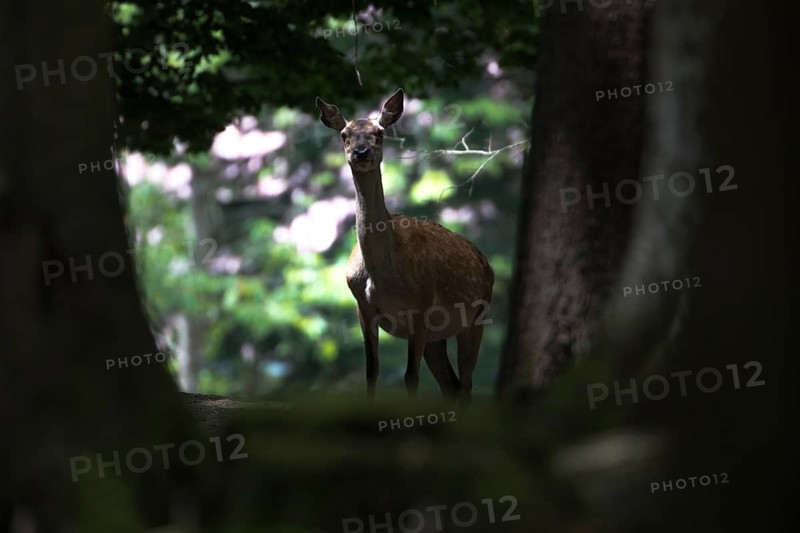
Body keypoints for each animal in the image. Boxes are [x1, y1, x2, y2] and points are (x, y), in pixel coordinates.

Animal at [315, 89, 494, 406]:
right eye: (345, 134)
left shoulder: (421, 308)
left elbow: (411, 378)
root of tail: (487, 264)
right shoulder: (364, 309)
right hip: (439, 336)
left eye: (380, 132)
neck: (382, 274)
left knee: (466, 384)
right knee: (451, 384)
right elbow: (371, 372)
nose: (361, 152)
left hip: (476, 317)